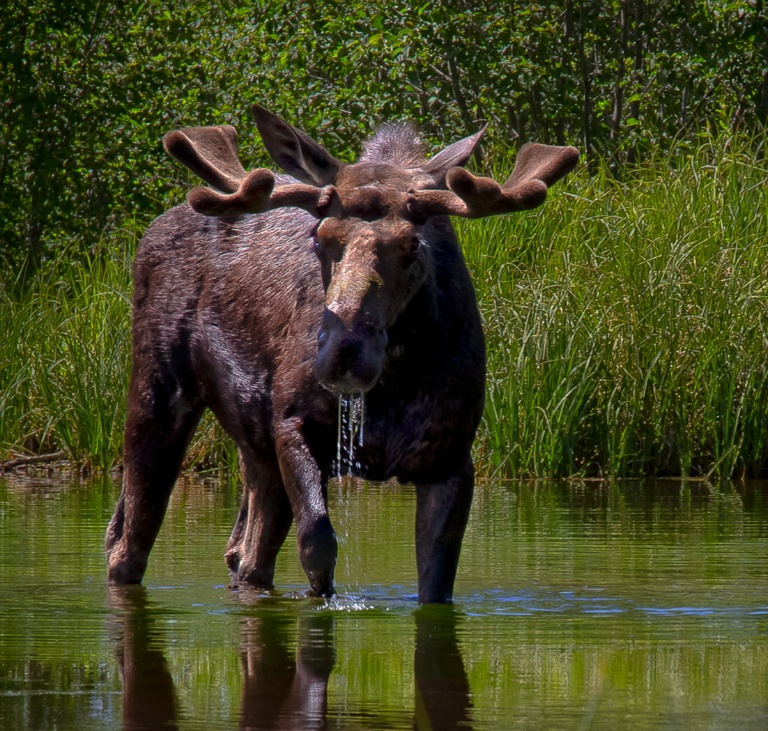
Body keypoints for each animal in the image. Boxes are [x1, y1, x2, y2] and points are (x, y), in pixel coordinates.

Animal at [105, 104, 578, 603]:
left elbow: (436, 577)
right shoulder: (292, 423)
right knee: (129, 543)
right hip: (159, 388)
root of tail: (151, 231)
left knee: (243, 555)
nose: (345, 351)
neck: (393, 385)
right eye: (319, 236)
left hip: (252, 445)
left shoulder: (451, 458)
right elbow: (318, 546)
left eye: (413, 243)